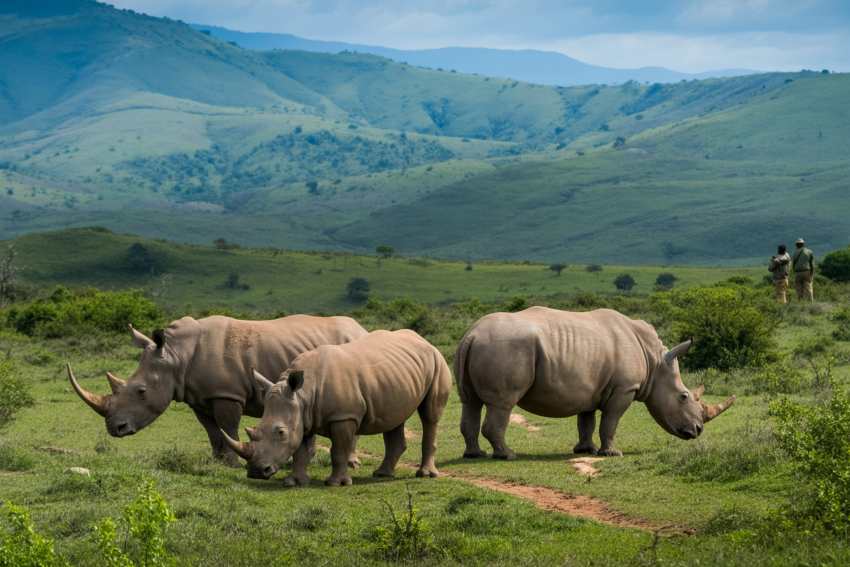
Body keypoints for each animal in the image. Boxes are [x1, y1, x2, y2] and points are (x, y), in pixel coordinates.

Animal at [67, 314, 368, 465]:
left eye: (141, 391)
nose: (114, 429)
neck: (176, 355)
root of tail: (362, 329)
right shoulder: (198, 396)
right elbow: (211, 429)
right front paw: (217, 461)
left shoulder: (226, 393)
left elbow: (228, 426)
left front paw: (233, 463)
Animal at [222, 329, 452, 486]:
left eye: (280, 432)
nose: (256, 472)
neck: (304, 394)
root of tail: (424, 340)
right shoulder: (302, 415)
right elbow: (300, 450)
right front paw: (295, 482)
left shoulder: (343, 416)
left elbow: (339, 449)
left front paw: (336, 483)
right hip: (398, 373)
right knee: (394, 417)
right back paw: (382, 474)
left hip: (437, 361)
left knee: (430, 416)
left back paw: (425, 475)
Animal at [455, 307, 735, 459]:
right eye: (684, 396)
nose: (697, 430)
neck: (655, 363)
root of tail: (472, 334)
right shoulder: (625, 388)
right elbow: (610, 422)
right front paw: (612, 453)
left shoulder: (588, 389)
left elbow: (586, 421)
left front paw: (585, 450)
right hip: (504, 349)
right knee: (502, 404)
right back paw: (508, 455)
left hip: (480, 347)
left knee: (470, 402)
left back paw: (475, 455)